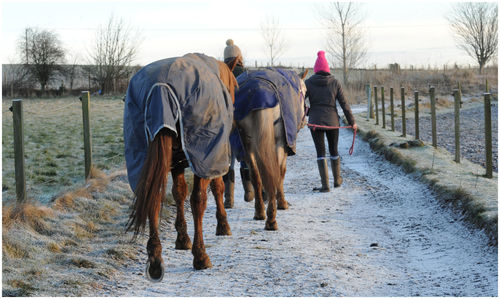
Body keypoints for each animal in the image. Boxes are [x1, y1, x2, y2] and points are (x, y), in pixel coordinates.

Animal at [122, 53, 236, 282]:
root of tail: (159, 88)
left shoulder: (176, 164)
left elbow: (178, 193)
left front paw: (182, 239)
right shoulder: (211, 157)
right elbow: (213, 190)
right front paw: (222, 225)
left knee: (153, 198)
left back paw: (155, 258)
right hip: (201, 154)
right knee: (198, 200)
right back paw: (200, 255)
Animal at [234, 68, 308, 231]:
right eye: (305, 92)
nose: (304, 120)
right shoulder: (281, 144)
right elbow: (281, 172)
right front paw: (282, 203)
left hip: (247, 145)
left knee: (256, 175)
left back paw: (260, 212)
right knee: (273, 173)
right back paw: (271, 219)